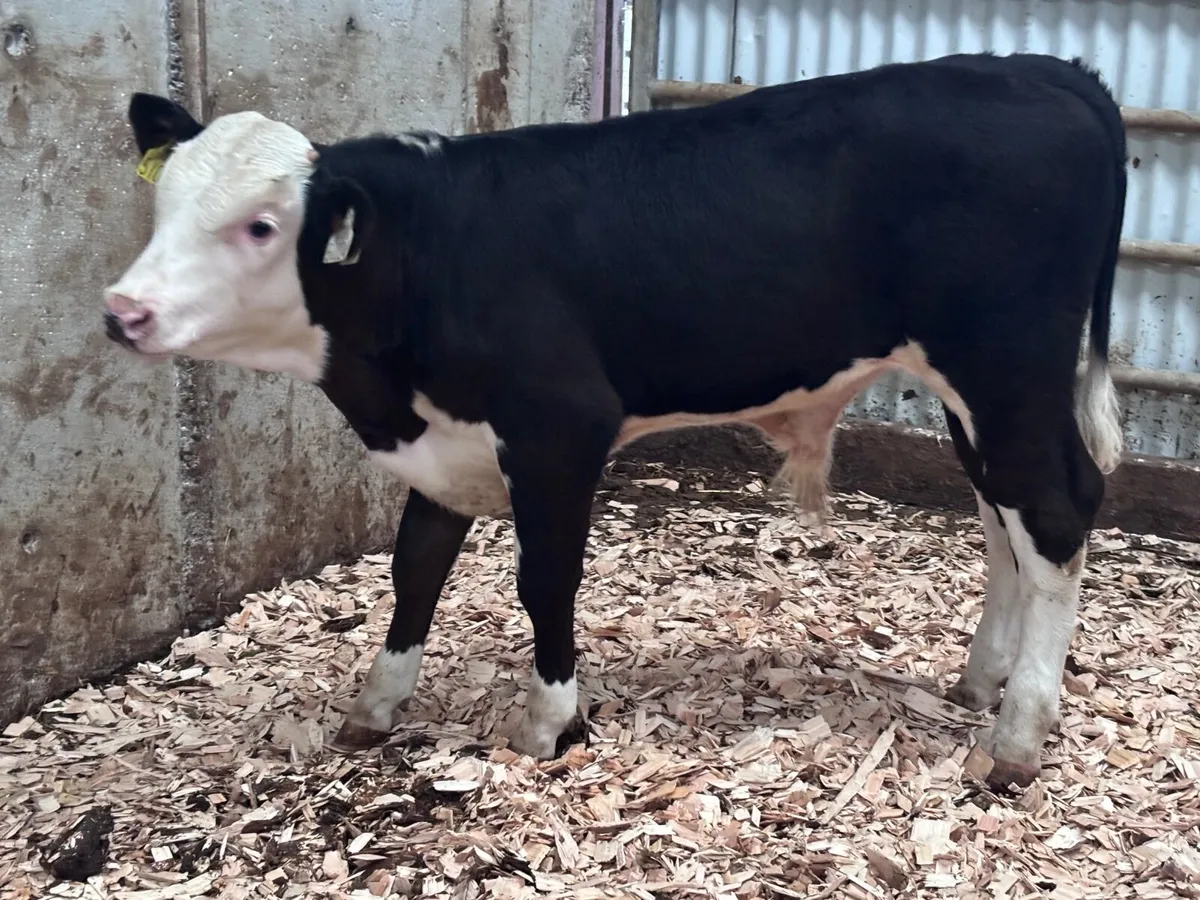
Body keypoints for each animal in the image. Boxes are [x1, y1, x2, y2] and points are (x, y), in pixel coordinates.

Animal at [102, 51, 1126, 790]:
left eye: (261, 225)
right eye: (163, 200)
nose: (123, 310)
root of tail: (1046, 69)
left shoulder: (557, 430)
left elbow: (544, 579)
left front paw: (550, 720)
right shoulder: (448, 446)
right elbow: (415, 570)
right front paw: (376, 705)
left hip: (1005, 369)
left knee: (1058, 513)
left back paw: (1017, 736)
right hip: (975, 393)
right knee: (1004, 517)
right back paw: (983, 678)